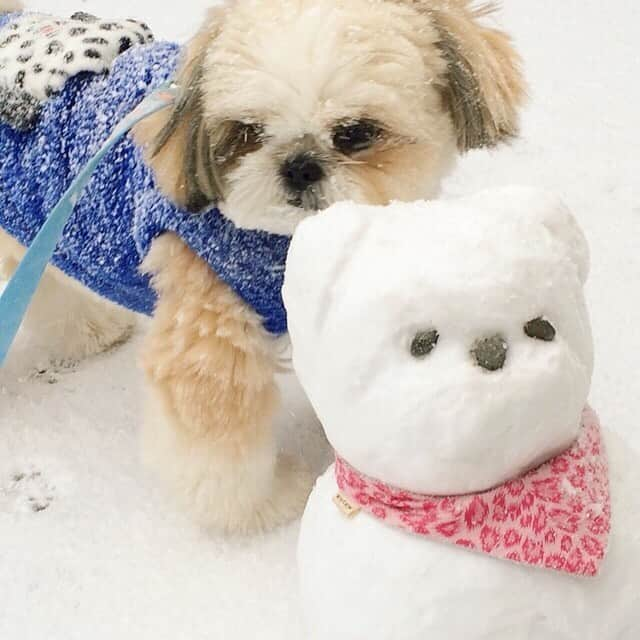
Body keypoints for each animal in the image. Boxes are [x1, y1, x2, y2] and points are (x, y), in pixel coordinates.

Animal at [0, 1, 524, 536]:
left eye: (355, 134)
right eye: (247, 133)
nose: (298, 165)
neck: (286, 243)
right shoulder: (210, 329)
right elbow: (219, 438)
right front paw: (261, 505)